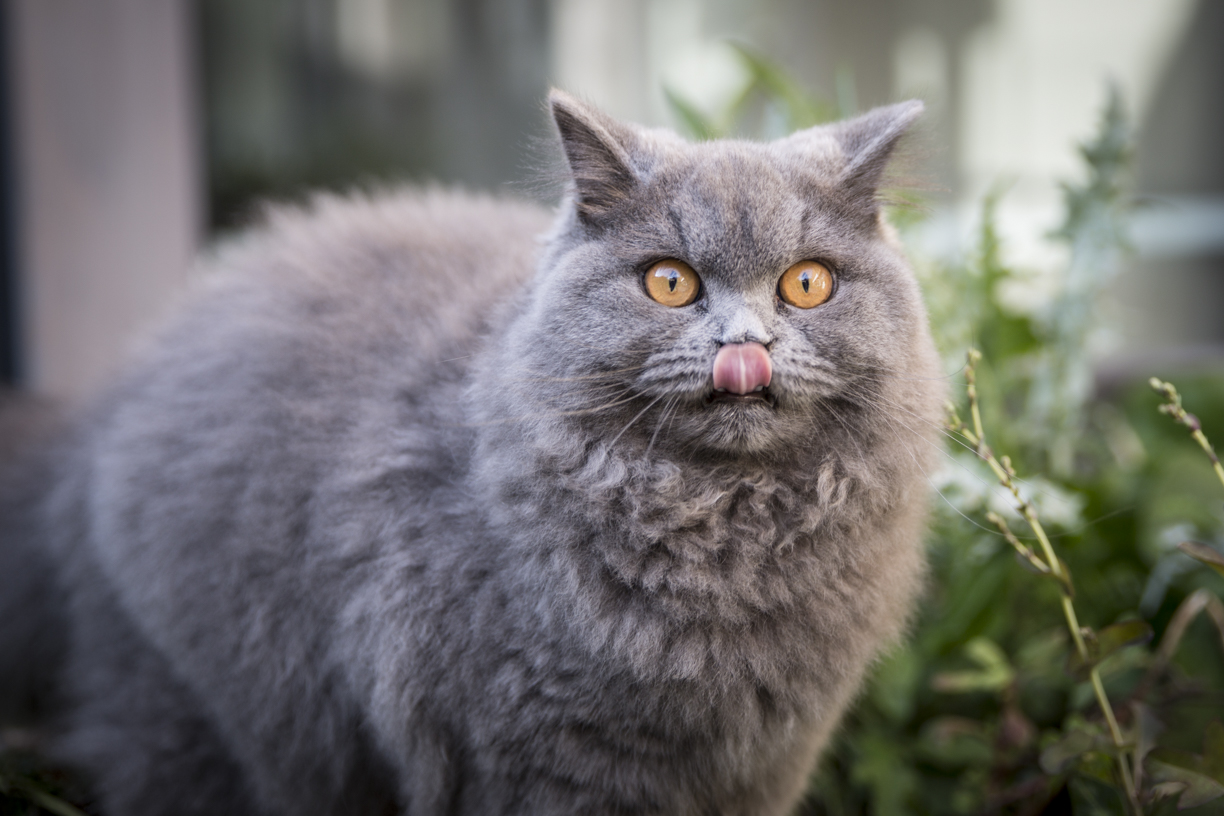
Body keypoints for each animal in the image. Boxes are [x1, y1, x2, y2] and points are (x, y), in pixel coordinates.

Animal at [0, 91, 940, 816]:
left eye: (806, 284)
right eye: (669, 282)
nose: (743, 346)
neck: (726, 536)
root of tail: (96, 420)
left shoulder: (762, 760)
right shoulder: (540, 758)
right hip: (195, 716)